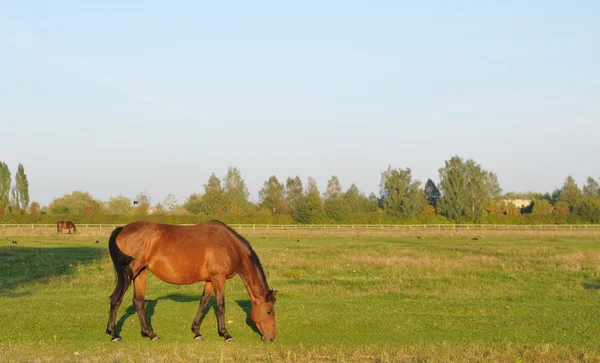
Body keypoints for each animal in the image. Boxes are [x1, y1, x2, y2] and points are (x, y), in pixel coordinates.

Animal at [106, 220, 278, 342]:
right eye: (269, 311)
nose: (271, 338)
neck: (229, 246)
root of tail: (123, 228)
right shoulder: (219, 278)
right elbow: (220, 305)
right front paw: (226, 335)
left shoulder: (210, 280)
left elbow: (203, 303)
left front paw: (197, 332)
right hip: (129, 274)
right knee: (116, 300)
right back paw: (114, 334)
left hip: (141, 273)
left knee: (139, 301)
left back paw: (150, 334)